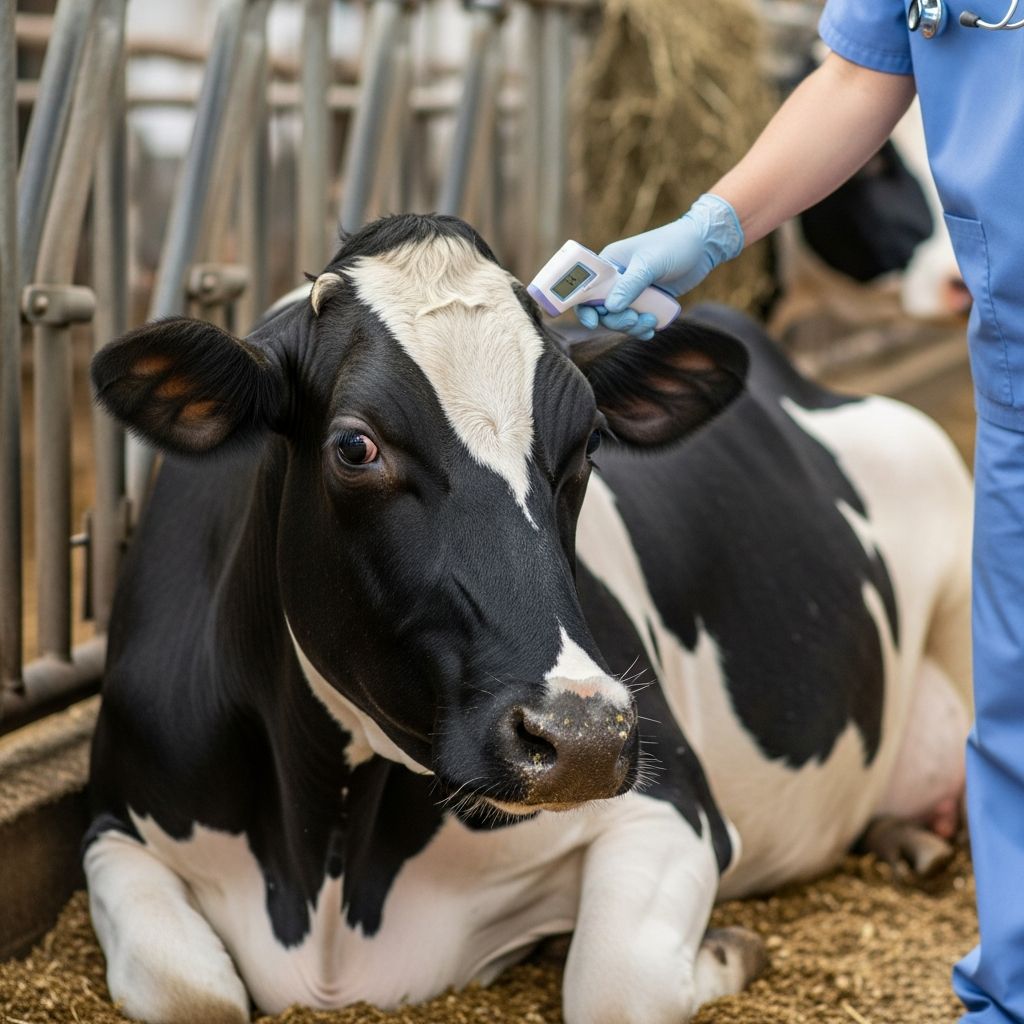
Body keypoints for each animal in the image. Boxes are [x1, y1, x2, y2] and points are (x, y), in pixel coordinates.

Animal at [85, 213, 972, 1024]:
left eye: (589, 444)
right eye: (355, 447)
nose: (581, 738)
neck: (328, 876)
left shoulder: (672, 803)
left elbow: (618, 986)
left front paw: (727, 950)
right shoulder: (114, 824)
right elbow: (190, 993)